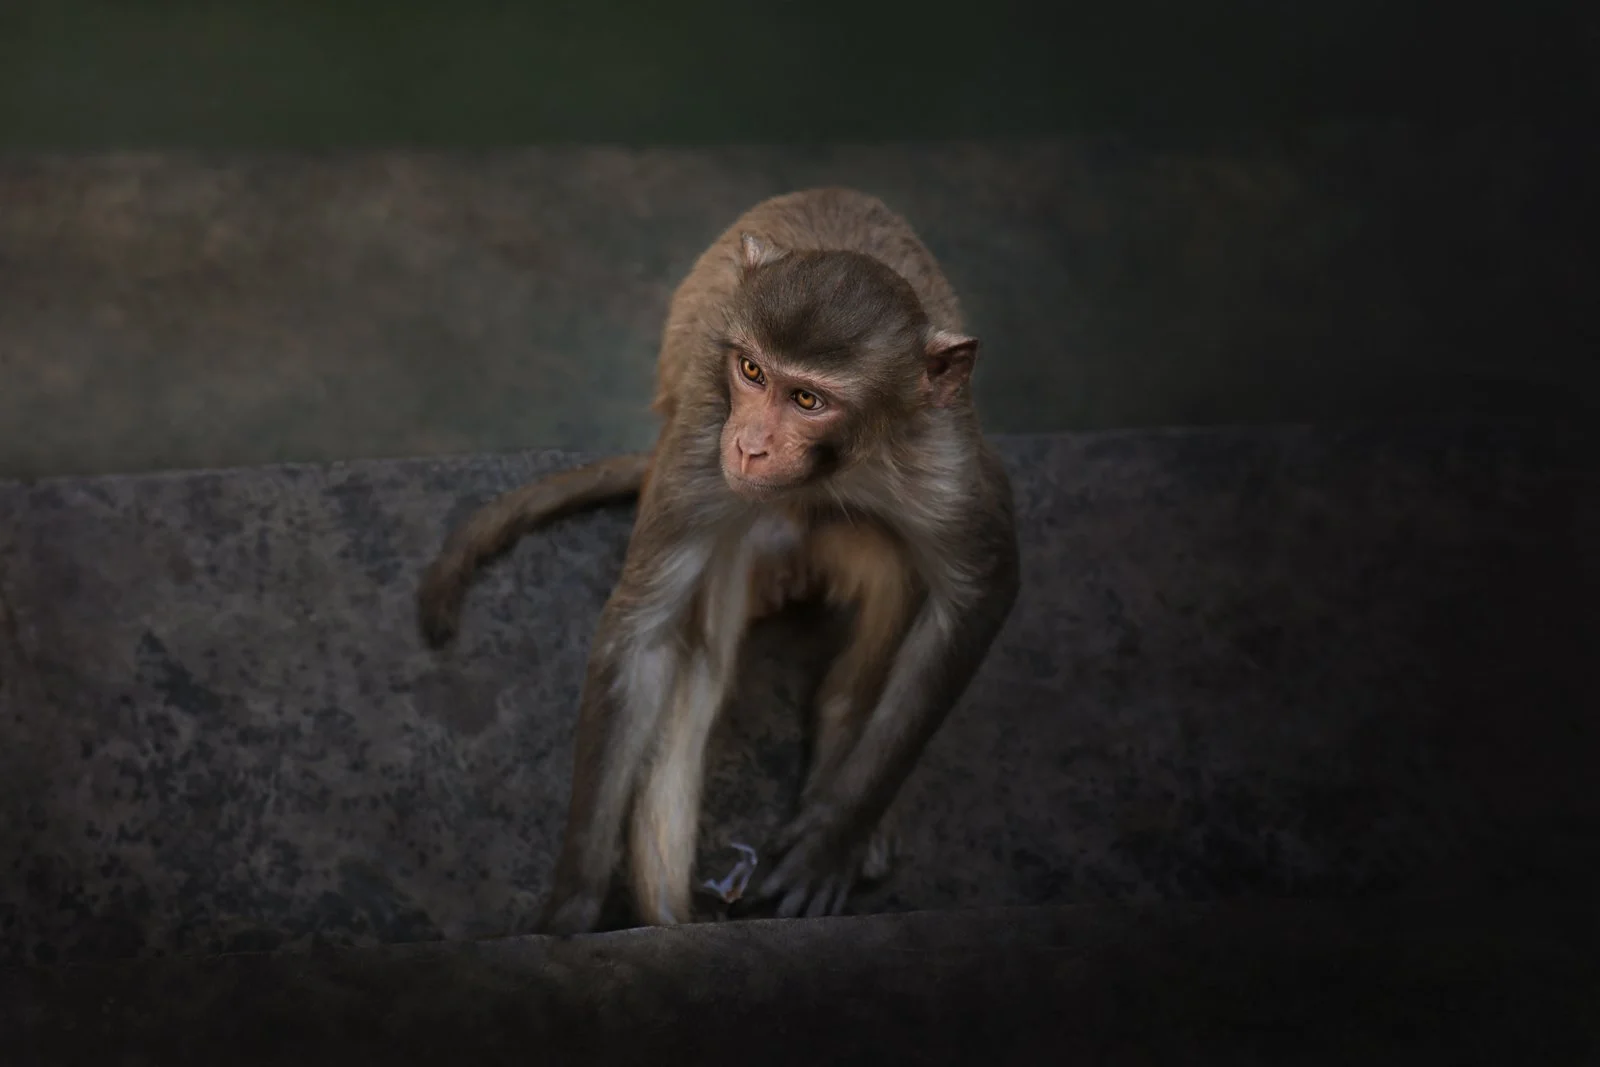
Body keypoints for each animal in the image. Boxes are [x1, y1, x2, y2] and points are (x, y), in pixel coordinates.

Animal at [417, 187, 1019, 933]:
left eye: (808, 399)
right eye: (752, 370)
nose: (750, 446)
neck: (835, 463)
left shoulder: (940, 456)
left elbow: (978, 592)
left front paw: (835, 837)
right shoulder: (705, 430)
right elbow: (643, 639)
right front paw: (575, 903)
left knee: (893, 561)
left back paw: (842, 739)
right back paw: (671, 914)